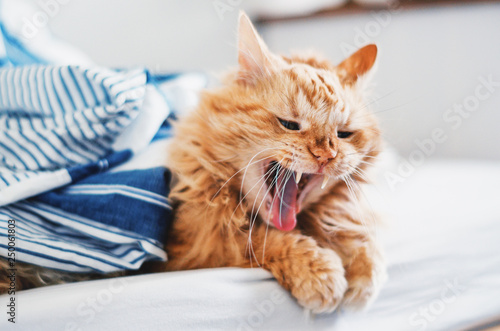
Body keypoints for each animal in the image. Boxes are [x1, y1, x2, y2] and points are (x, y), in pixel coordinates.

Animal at [162, 12, 384, 314]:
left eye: (343, 134)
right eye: (289, 124)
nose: (326, 155)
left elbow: (358, 236)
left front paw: (363, 275)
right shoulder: (196, 246)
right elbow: (260, 241)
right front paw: (320, 274)